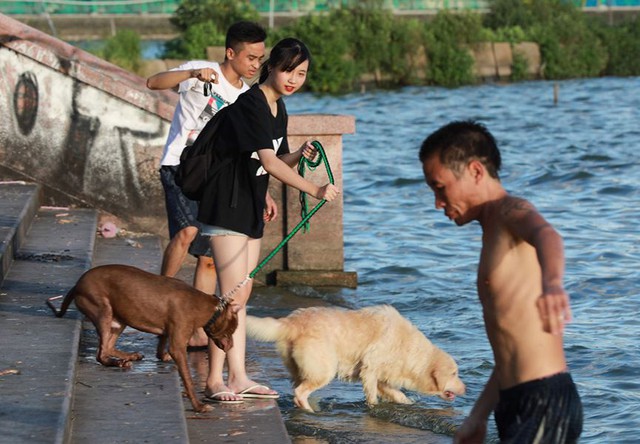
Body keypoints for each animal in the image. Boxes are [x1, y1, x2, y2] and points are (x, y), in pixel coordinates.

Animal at [46, 264, 239, 412]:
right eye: (232, 329)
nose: (231, 347)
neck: (206, 308)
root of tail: (77, 284)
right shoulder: (177, 345)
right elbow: (188, 380)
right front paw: (198, 406)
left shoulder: (166, 333)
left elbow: (161, 350)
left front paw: (163, 357)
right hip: (103, 310)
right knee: (101, 353)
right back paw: (119, 361)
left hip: (120, 319)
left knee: (108, 348)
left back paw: (127, 358)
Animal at [246, 304, 464, 412]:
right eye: (454, 374)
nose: (466, 389)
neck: (408, 348)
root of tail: (290, 322)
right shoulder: (370, 370)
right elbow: (373, 396)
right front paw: (374, 408)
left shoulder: (381, 378)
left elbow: (398, 395)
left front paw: (408, 403)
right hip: (324, 370)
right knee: (300, 392)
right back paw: (310, 411)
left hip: (300, 370)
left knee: (297, 389)